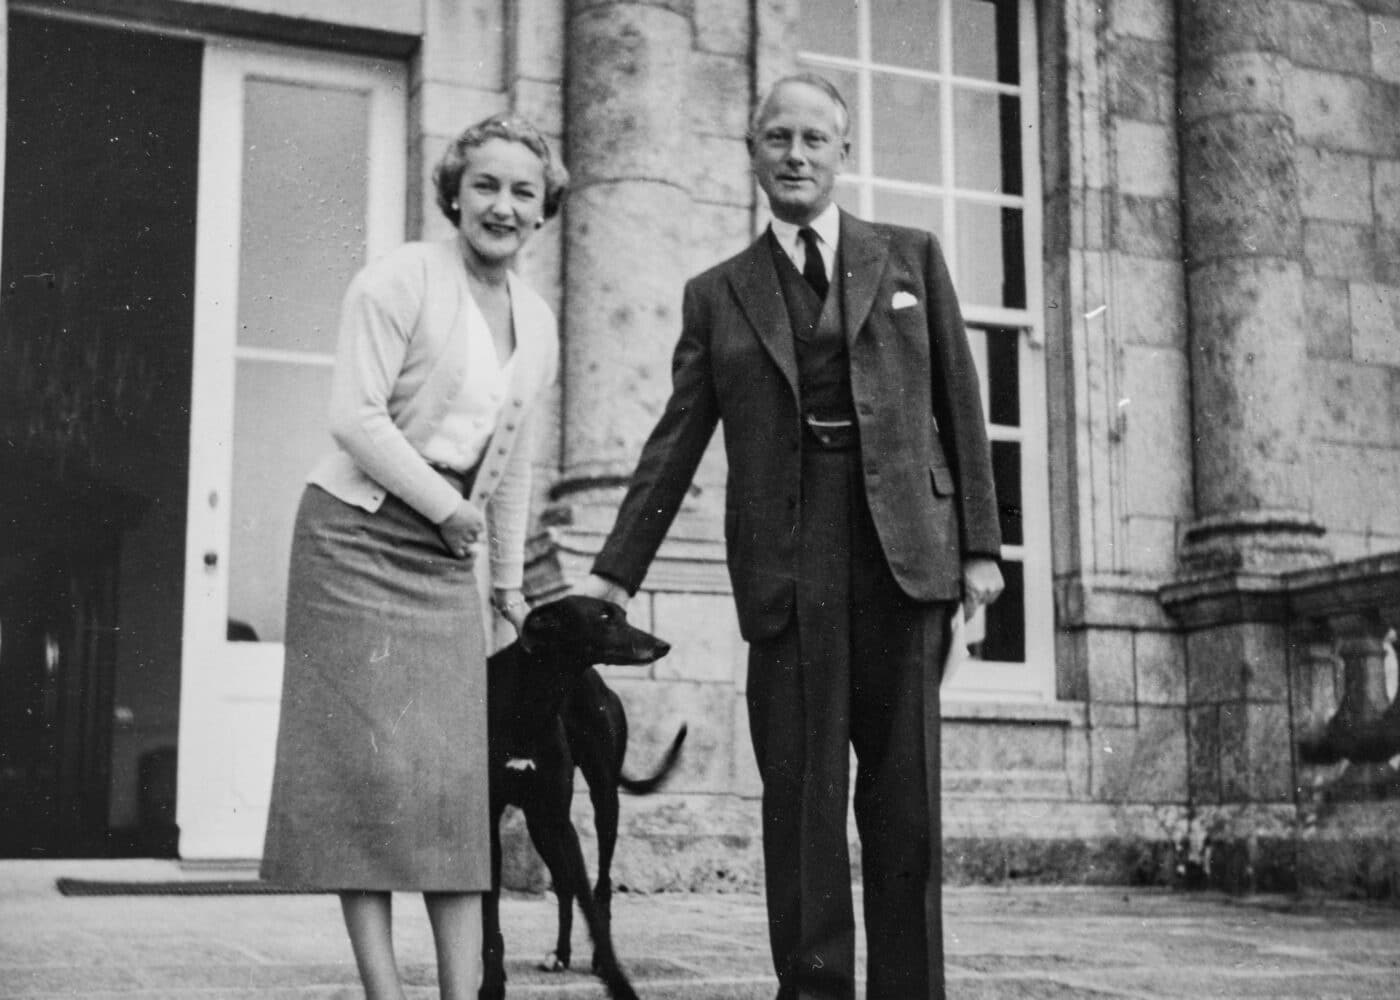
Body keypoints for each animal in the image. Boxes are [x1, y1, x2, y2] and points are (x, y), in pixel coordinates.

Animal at [481, 596, 683, 991]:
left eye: (624, 615)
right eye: (605, 616)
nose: (662, 645)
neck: (532, 698)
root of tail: (598, 681)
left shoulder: (561, 819)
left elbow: (588, 898)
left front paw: (612, 968)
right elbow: (490, 907)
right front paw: (492, 976)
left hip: (601, 802)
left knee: (600, 884)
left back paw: (592, 958)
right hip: (539, 822)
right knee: (563, 884)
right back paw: (561, 954)